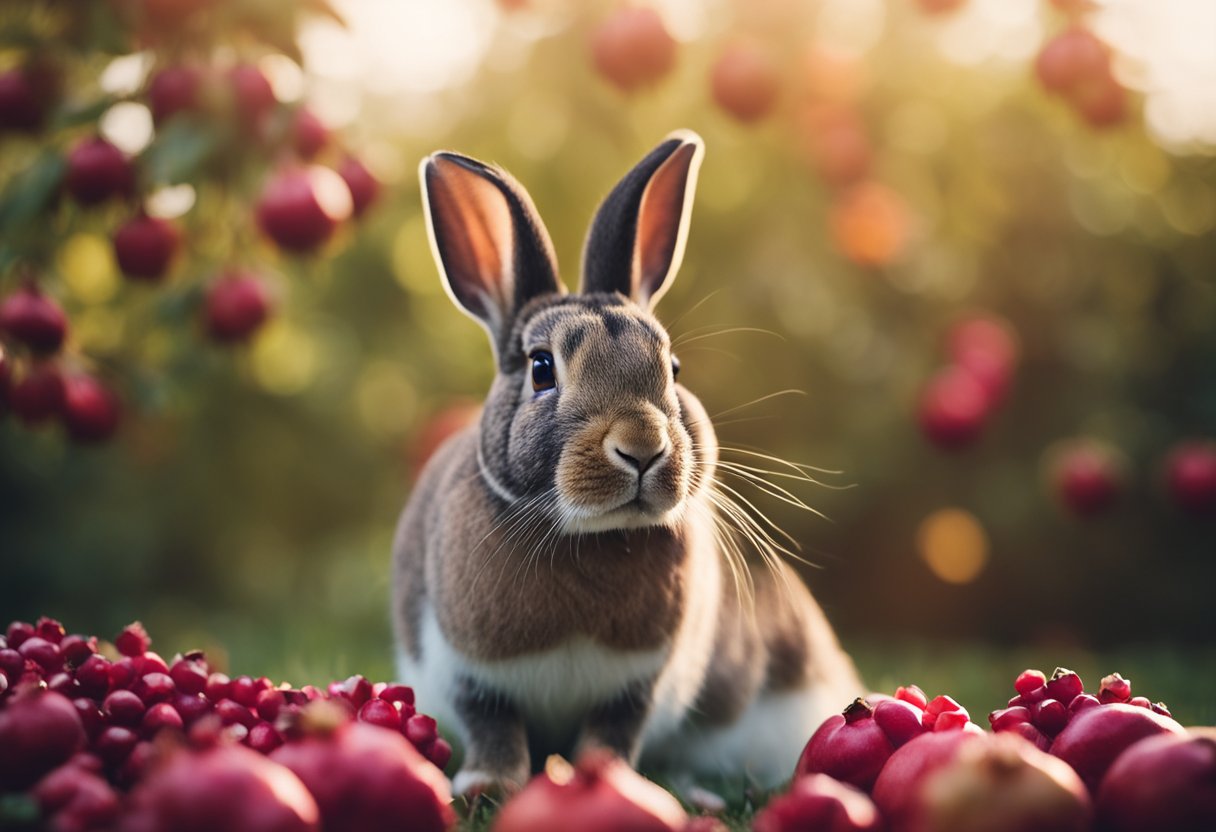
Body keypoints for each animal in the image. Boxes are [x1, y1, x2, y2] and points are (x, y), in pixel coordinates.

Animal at [392, 129, 863, 798]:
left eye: (673, 369)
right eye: (542, 368)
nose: (643, 446)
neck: (591, 534)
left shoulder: (636, 687)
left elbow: (611, 735)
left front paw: (613, 780)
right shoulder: (468, 677)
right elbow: (495, 730)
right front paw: (485, 787)